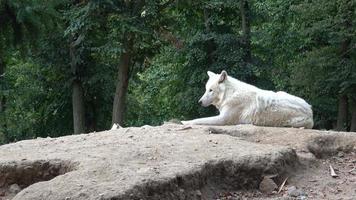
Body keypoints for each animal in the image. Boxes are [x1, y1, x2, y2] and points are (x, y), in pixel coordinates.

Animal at [182, 71, 312, 129]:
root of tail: (310, 110)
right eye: (206, 89)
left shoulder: (223, 119)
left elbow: (199, 119)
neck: (229, 94)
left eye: (211, 90)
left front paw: (185, 122)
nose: (199, 102)